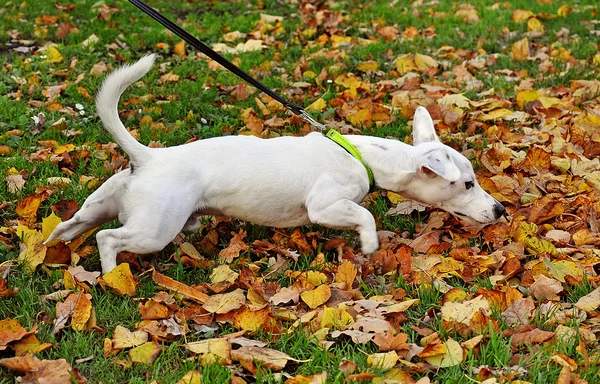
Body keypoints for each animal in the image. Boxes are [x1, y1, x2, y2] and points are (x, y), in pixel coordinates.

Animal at [47, 55, 504, 274]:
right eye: (467, 184)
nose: (501, 210)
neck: (364, 156)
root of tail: (148, 157)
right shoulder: (324, 207)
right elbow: (364, 217)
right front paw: (370, 245)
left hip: (100, 207)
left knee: (70, 228)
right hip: (153, 229)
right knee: (107, 239)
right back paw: (112, 277)